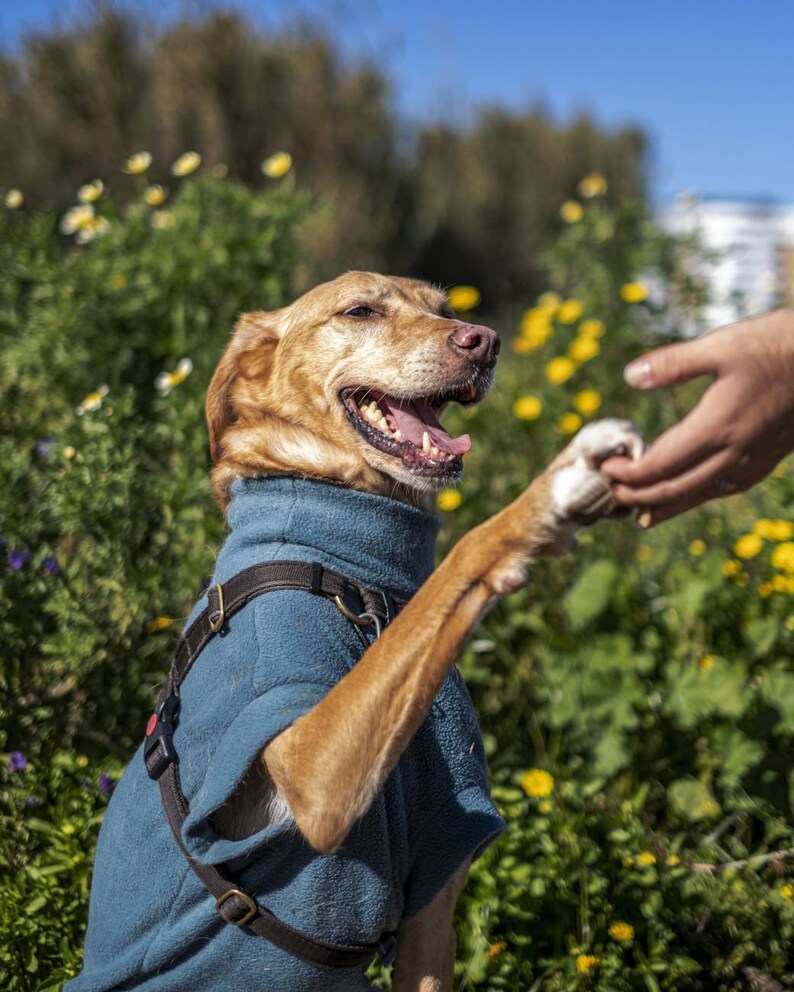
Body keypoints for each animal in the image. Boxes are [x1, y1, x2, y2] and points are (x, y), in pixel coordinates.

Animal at [66, 272, 636, 992]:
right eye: (361, 310)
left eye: (445, 309)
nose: (484, 341)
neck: (353, 569)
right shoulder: (315, 771)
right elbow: (463, 556)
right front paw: (551, 494)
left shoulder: (430, 914)